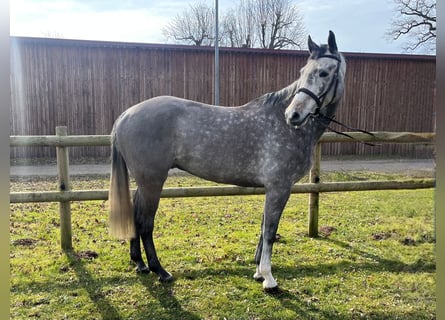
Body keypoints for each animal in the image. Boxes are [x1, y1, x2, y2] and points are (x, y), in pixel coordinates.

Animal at [109, 31, 346, 292]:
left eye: (323, 72)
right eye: (303, 72)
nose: (293, 115)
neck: (284, 126)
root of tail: (125, 115)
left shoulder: (273, 189)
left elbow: (263, 228)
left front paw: (258, 273)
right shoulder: (279, 187)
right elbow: (270, 230)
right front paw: (269, 278)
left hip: (144, 181)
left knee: (135, 215)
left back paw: (140, 264)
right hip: (152, 181)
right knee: (145, 222)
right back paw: (159, 270)